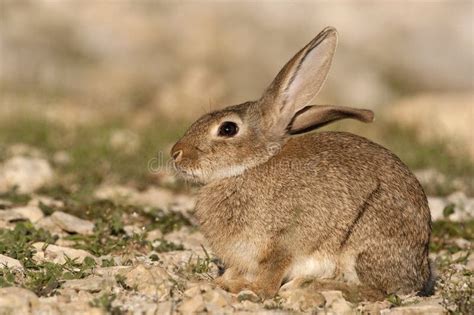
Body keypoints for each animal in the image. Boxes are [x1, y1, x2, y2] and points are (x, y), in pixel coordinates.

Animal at [171, 27, 434, 302]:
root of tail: (418, 272)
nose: (176, 153)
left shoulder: (284, 241)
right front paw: (216, 281)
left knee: (376, 290)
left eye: (228, 129)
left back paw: (310, 286)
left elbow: (271, 276)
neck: (250, 167)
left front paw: (246, 289)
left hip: (364, 241)